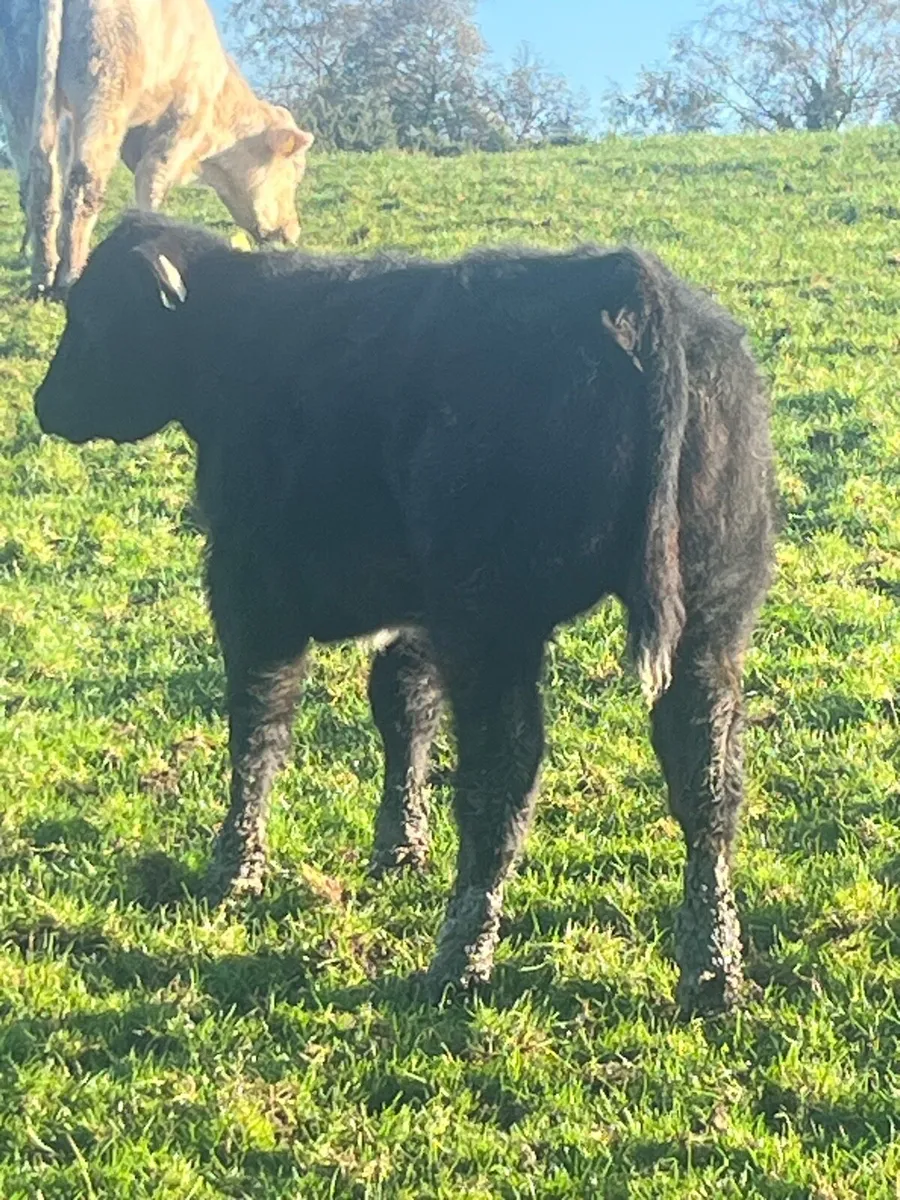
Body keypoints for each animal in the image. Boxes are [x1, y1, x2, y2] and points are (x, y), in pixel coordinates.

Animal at [15, 0, 313, 298]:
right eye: (295, 173)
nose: (293, 231)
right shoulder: (180, 123)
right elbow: (152, 185)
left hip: (24, 95)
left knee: (41, 181)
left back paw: (43, 273)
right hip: (105, 93)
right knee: (83, 186)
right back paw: (70, 274)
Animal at [34, 212, 777, 1014]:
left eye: (95, 313)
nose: (46, 403)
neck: (239, 339)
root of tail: (624, 277)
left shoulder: (252, 587)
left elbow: (258, 725)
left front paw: (235, 866)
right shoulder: (418, 612)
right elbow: (403, 710)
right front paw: (399, 847)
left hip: (496, 624)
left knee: (501, 779)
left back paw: (459, 959)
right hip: (710, 618)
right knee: (707, 784)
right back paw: (712, 971)